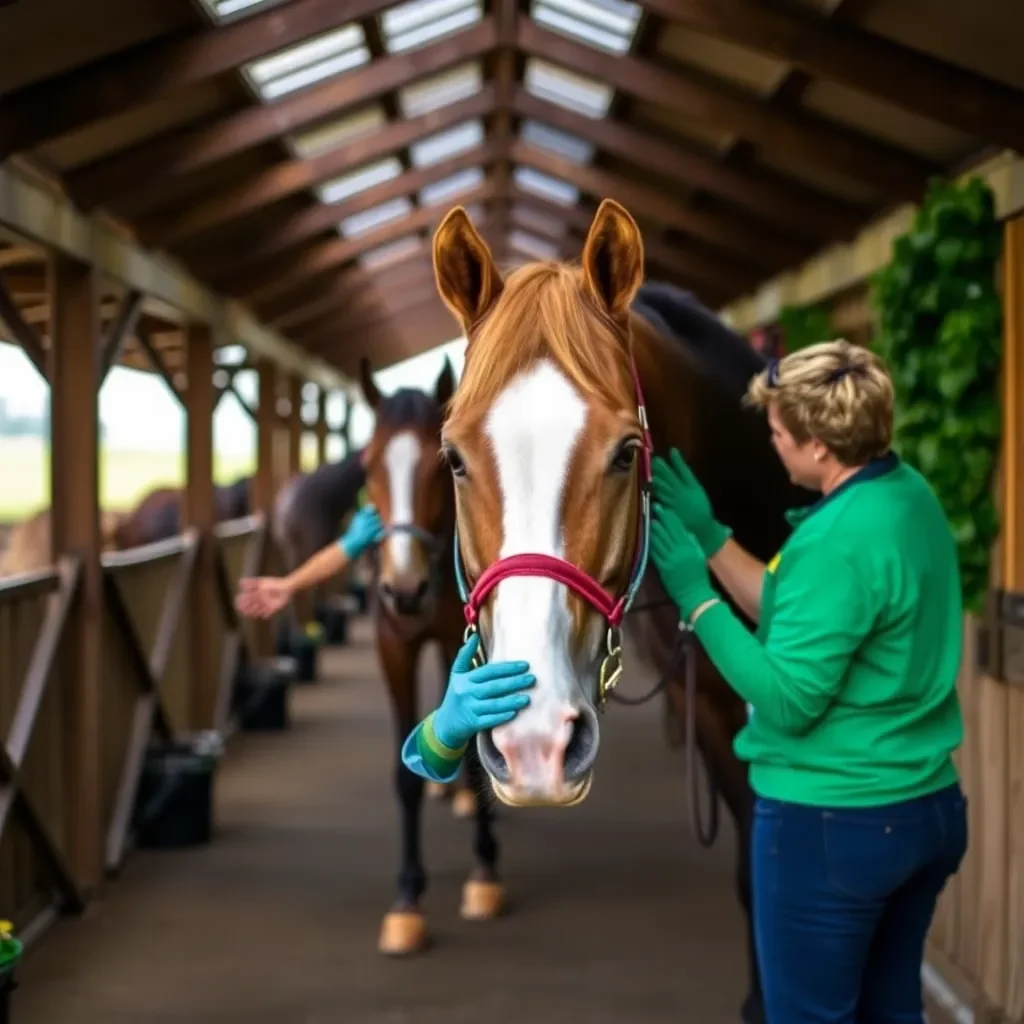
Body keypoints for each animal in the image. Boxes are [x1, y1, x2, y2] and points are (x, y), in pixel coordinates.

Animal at [356, 354, 507, 958]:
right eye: (366, 466)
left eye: (438, 465)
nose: (404, 590)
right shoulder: (392, 646)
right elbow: (404, 779)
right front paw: (407, 899)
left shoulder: (463, 644)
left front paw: (485, 874)